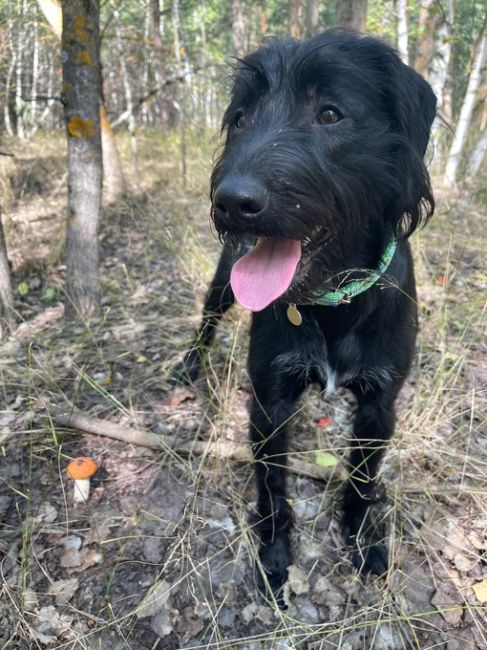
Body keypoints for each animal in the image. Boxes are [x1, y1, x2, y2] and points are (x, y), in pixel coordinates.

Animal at [177, 29, 436, 596]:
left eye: (331, 114)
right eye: (241, 119)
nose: (232, 202)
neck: (331, 303)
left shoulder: (380, 406)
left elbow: (362, 481)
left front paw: (361, 541)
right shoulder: (270, 403)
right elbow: (273, 488)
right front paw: (275, 555)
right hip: (223, 285)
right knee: (206, 321)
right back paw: (188, 366)